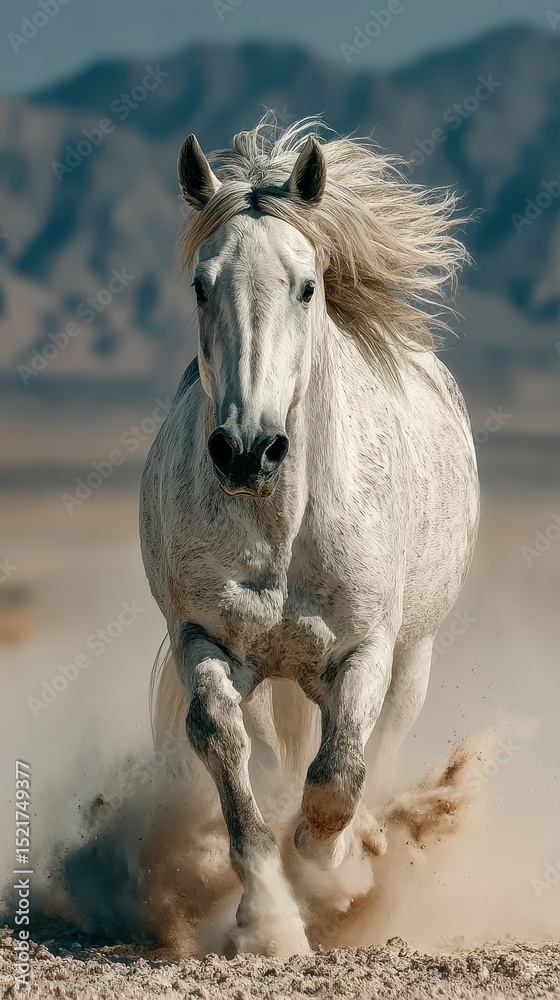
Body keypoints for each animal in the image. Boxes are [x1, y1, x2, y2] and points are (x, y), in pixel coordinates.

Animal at [140, 118, 480, 957]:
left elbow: (337, 779)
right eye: (202, 284)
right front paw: (267, 916)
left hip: (411, 659)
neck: (284, 528)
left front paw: (331, 870)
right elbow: (227, 752)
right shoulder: (202, 637)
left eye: (306, 285)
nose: (247, 450)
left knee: (372, 753)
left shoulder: (365, 650)